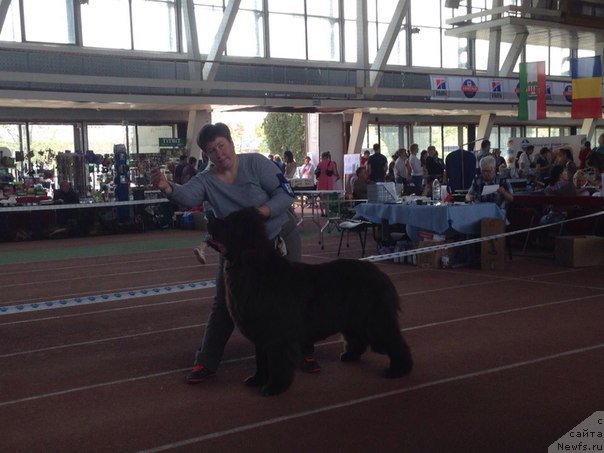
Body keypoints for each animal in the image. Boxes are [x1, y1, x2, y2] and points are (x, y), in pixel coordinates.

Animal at [206, 207, 410, 394]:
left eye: (229, 223)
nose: (209, 218)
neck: (252, 268)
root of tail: (380, 274)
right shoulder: (261, 333)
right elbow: (261, 360)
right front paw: (257, 380)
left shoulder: (276, 334)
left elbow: (276, 363)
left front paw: (274, 388)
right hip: (353, 319)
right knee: (358, 338)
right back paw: (350, 356)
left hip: (375, 319)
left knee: (394, 341)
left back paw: (399, 369)